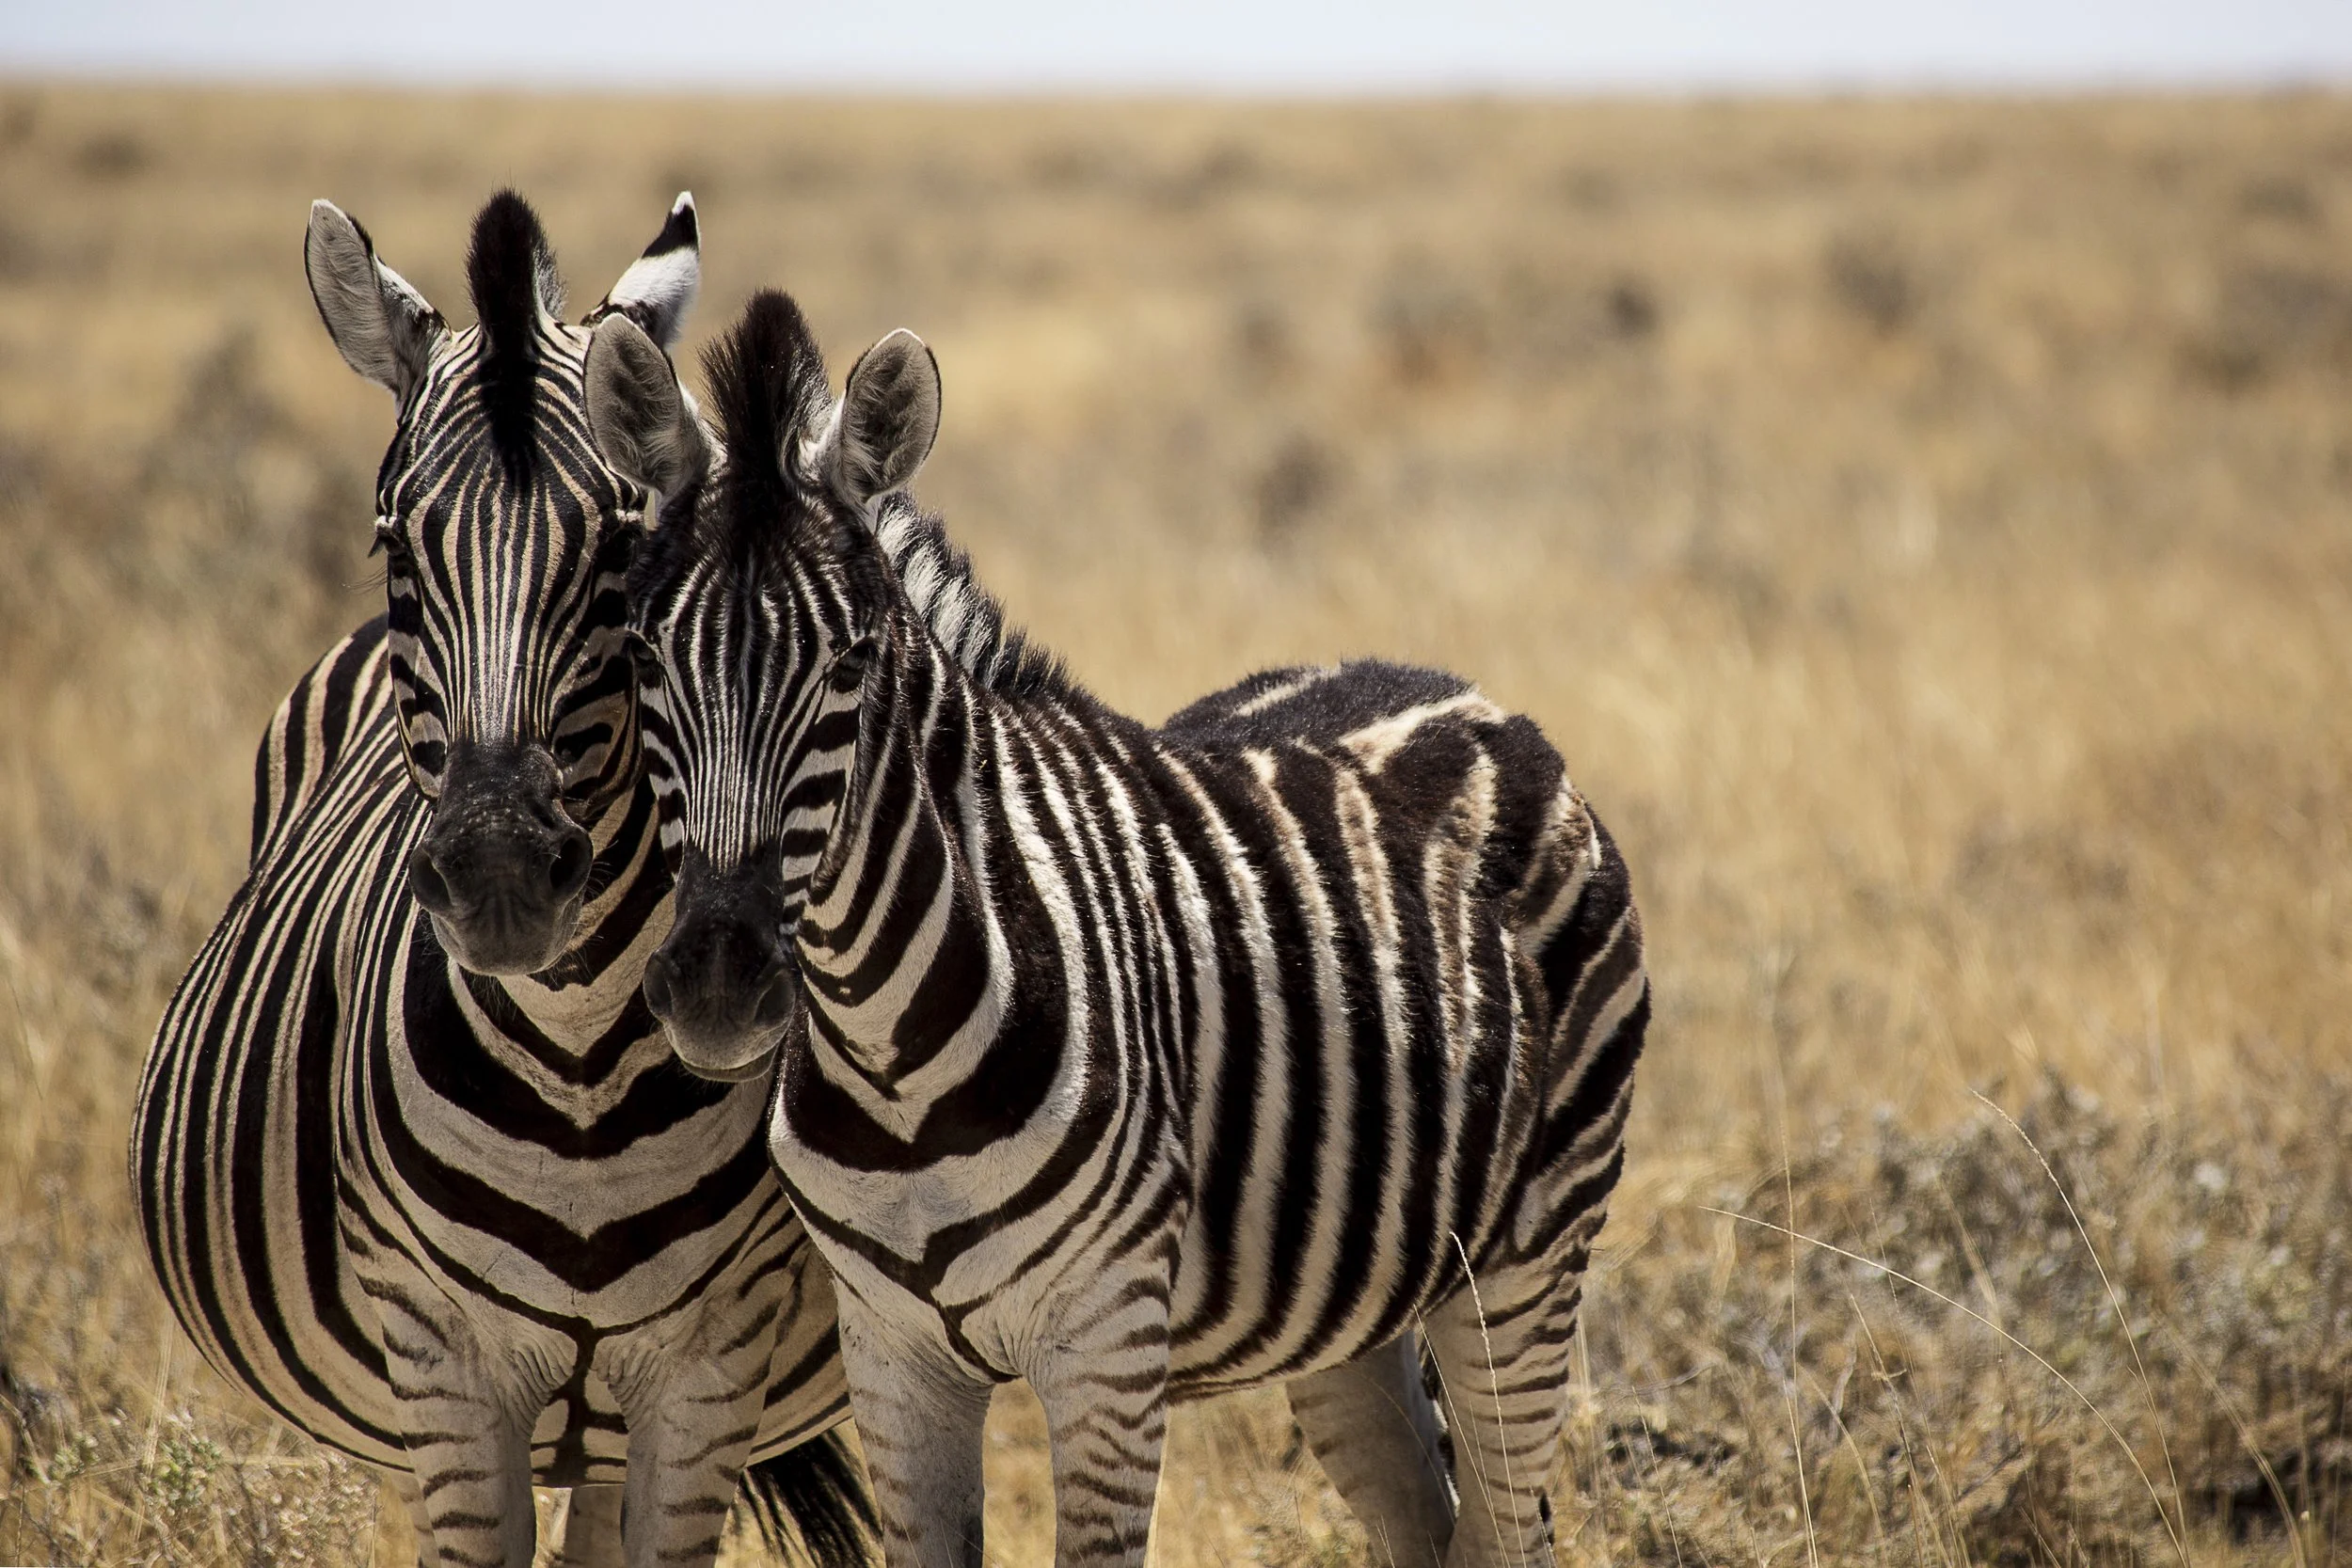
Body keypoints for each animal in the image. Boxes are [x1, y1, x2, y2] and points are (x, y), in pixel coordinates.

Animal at [132, 195, 875, 1568]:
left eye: (625, 548)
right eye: (392, 543)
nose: (499, 875)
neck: (576, 1064)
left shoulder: (706, 1372)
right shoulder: (445, 1364)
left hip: (615, 1424)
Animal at [580, 289, 1651, 1568]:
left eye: (851, 659)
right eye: (645, 653)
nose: (716, 987)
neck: (890, 1056)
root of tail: (1461, 691)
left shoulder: (1105, 1350)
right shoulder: (892, 1355)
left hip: (1525, 1269)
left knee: (1505, 1524)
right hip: (1356, 1309)